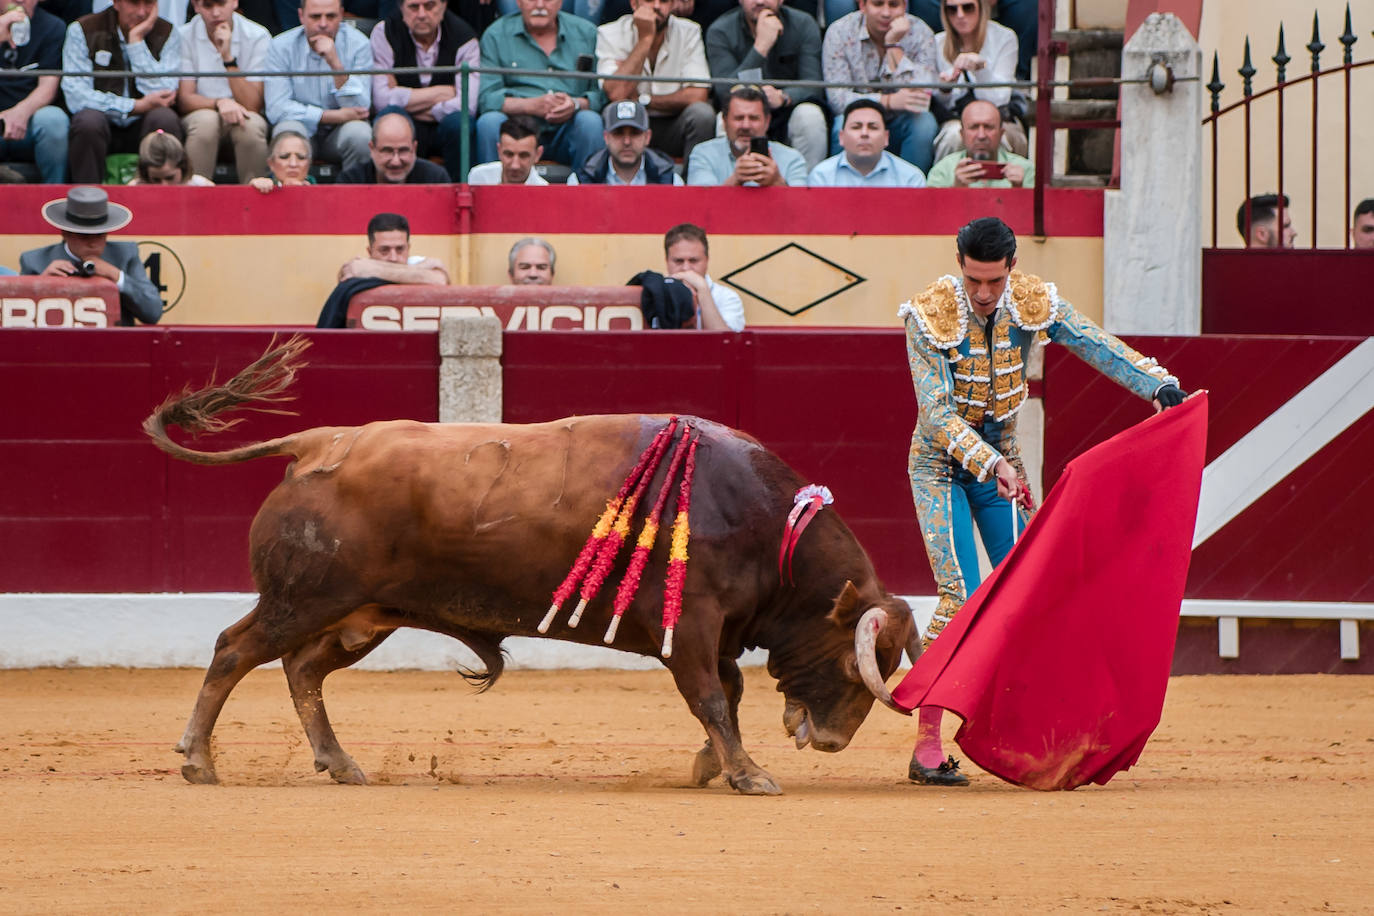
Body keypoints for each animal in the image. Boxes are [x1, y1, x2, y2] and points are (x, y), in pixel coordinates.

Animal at [144, 339, 917, 796]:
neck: (759, 517)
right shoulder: (693, 626)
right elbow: (713, 697)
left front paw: (710, 766)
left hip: (364, 615)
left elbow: (726, 691)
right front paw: (749, 774)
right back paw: (198, 760)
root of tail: (316, 444)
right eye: (854, 666)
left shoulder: (713, 631)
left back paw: (341, 764)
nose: (832, 743)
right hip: (302, 599)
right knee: (235, 650)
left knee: (303, 669)